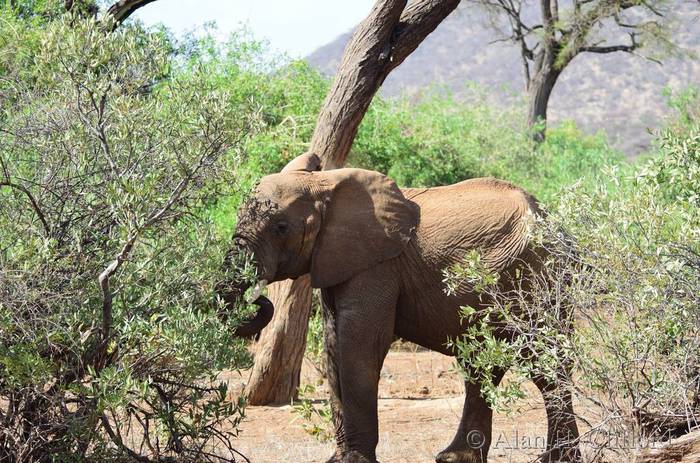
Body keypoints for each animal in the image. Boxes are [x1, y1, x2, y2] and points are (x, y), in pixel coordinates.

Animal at [218, 152, 580, 463]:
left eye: (281, 227)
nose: (259, 297)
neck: (324, 183)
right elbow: (335, 346)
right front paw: (338, 459)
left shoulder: (378, 266)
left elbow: (360, 346)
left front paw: (356, 460)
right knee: (481, 365)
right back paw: (454, 458)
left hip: (537, 279)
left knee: (545, 364)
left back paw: (559, 458)